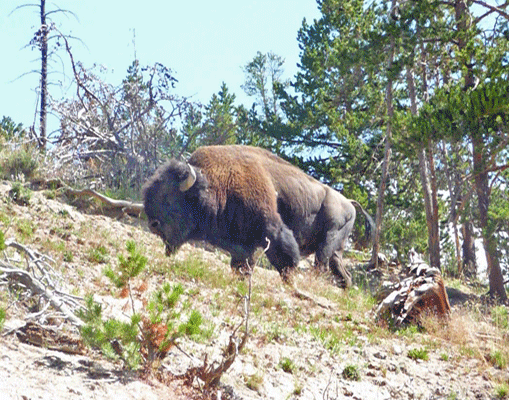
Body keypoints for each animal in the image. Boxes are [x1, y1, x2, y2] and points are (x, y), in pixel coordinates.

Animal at [143, 145, 374, 286]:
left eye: (168, 199)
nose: (153, 224)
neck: (215, 182)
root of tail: (349, 203)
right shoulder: (242, 245)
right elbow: (242, 264)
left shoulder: (270, 228)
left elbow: (286, 258)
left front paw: (289, 281)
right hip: (337, 249)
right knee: (342, 272)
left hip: (328, 241)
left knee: (321, 264)